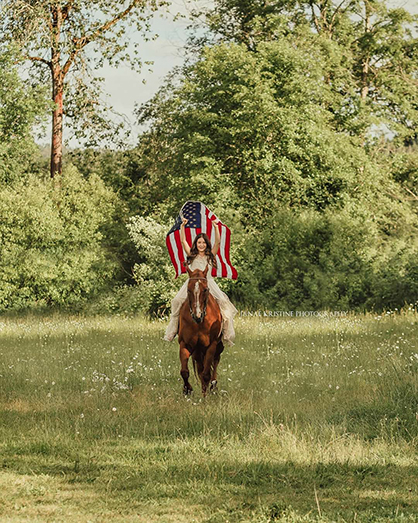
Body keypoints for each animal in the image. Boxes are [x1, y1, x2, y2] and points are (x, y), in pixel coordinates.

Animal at [178, 266, 224, 398]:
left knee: (215, 363)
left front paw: (204, 397)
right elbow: (184, 372)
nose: (197, 316)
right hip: (197, 352)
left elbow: (206, 374)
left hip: (218, 348)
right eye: (188, 290)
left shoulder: (211, 346)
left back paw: (213, 386)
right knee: (200, 368)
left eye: (205, 289)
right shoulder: (185, 344)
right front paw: (187, 390)